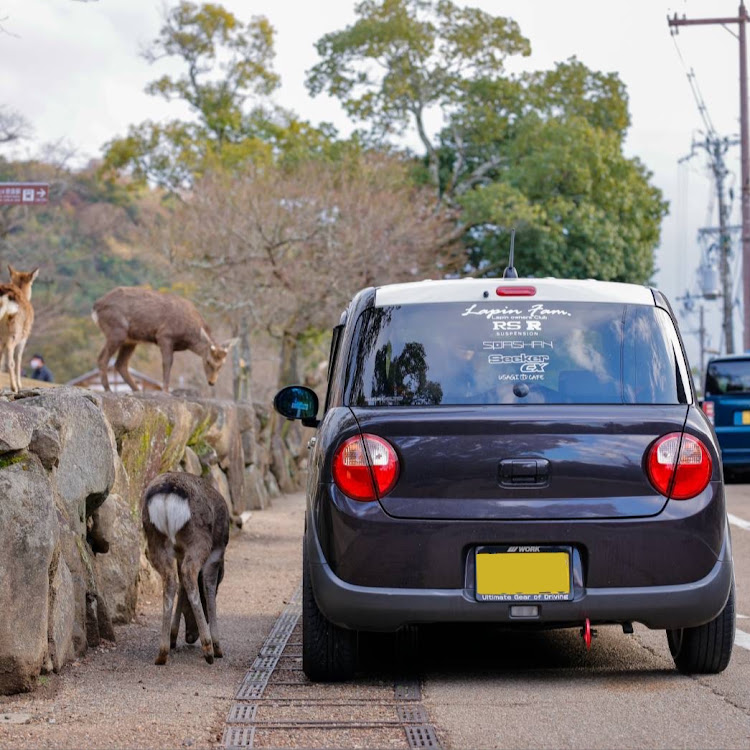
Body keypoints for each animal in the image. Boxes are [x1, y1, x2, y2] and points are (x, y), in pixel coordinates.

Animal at [92, 288, 238, 394]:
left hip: (130, 340)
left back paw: (137, 390)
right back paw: (108, 389)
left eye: (222, 364)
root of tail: (96, 307)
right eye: (207, 361)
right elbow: (167, 362)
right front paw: (166, 391)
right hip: (116, 330)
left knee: (120, 364)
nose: (212, 382)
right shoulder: (164, 335)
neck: (188, 337)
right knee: (102, 358)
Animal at [142, 472, 229, 668]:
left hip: (154, 539)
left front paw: (173, 637)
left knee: (171, 580)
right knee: (189, 574)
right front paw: (218, 646)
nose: (190, 636)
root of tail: (166, 494)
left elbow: (181, 586)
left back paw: (162, 652)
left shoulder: (180, 553)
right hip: (199, 539)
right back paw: (208, 649)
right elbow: (209, 588)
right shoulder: (217, 550)